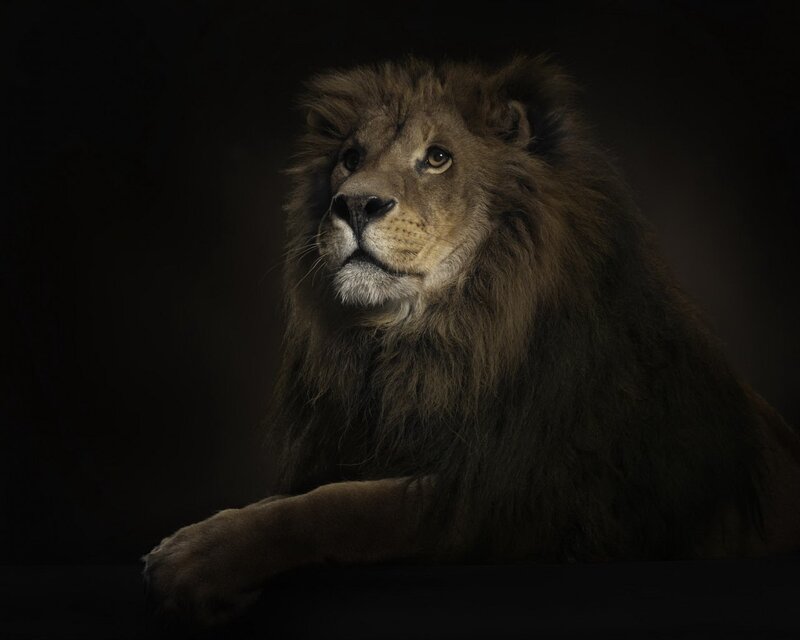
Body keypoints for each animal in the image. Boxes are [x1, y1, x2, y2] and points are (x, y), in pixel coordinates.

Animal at [143, 56, 800, 625]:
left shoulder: (514, 498)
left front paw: (194, 560)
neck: (432, 341)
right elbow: (305, 495)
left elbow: (340, 506)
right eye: (350, 157)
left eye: (437, 158)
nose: (353, 203)